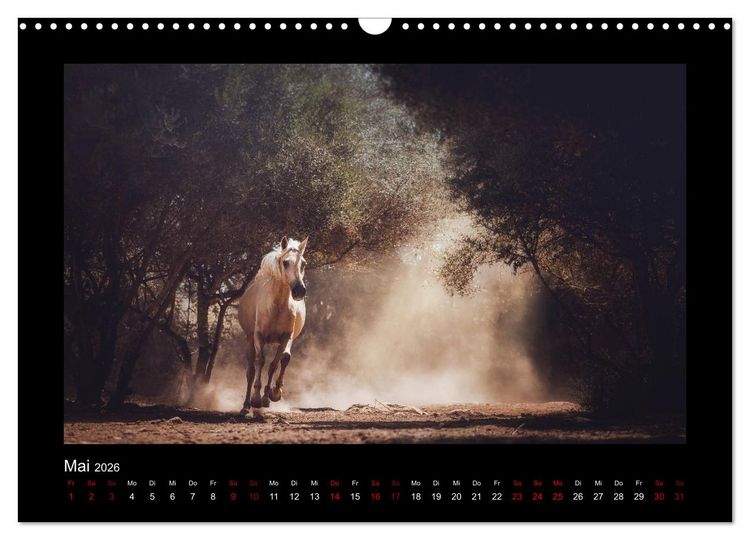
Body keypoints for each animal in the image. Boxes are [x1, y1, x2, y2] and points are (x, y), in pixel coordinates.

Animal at [238, 236, 308, 414]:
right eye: (286, 262)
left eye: (303, 263)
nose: (299, 291)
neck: (276, 306)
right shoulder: (258, 336)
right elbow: (261, 361)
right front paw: (256, 398)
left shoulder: (286, 337)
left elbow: (279, 361)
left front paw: (273, 394)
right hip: (250, 340)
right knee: (251, 370)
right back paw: (246, 405)